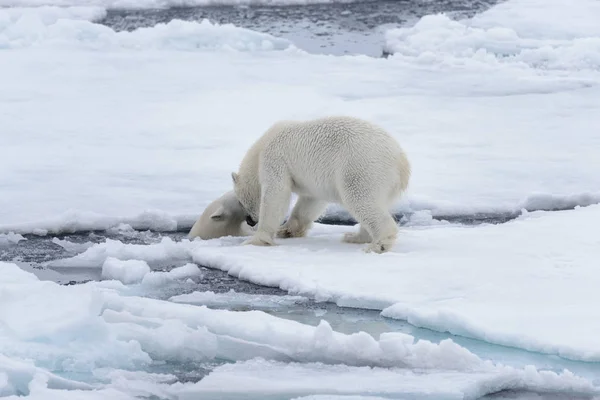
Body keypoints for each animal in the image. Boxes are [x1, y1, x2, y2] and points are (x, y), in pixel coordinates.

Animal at [232, 115, 410, 253]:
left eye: (240, 202)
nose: (250, 221)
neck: (261, 147)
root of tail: (401, 162)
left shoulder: (275, 159)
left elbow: (276, 194)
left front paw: (256, 240)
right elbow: (311, 201)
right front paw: (287, 230)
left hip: (360, 167)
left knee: (360, 199)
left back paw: (377, 245)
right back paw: (355, 236)